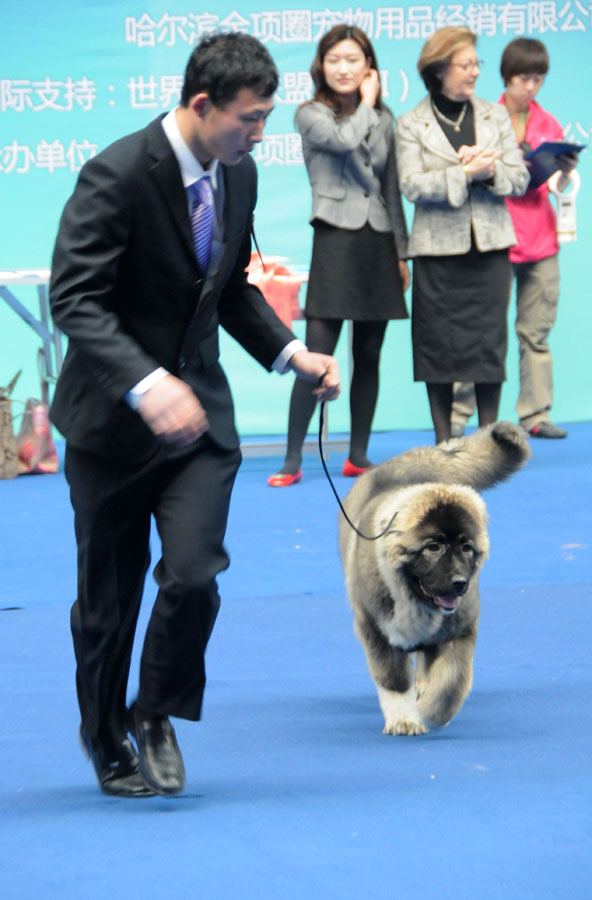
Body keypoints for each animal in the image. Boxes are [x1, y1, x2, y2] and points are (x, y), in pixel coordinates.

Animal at [340, 422, 528, 740]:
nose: (460, 583)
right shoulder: (377, 631)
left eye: (466, 547)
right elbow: (394, 680)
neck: (412, 595)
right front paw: (404, 718)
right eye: (433, 547)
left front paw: (432, 711)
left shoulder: (460, 631)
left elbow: (452, 681)